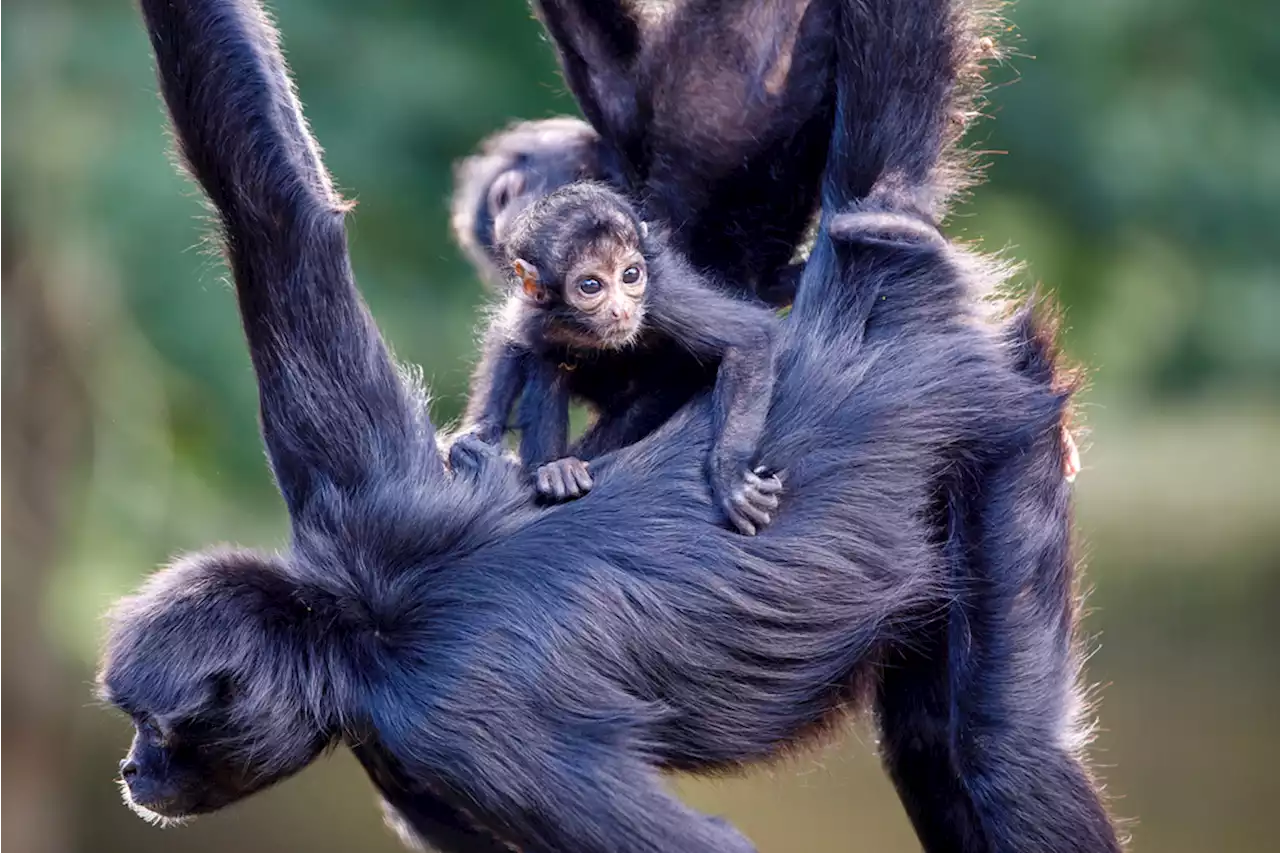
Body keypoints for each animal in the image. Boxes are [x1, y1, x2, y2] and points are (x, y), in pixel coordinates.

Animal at [460, 180, 778, 532]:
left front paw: (730, 474)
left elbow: (750, 338)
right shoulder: (538, 309)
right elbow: (508, 338)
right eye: (590, 285)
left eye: (630, 275)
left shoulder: (662, 296)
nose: (622, 309)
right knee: (548, 361)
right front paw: (478, 431)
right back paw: (555, 470)